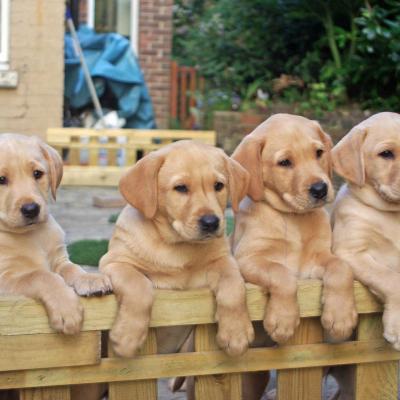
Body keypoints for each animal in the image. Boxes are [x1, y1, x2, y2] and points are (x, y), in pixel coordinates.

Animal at [0, 134, 111, 334]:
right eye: (1, 179)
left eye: (37, 174)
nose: (31, 209)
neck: (32, 235)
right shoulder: (5, 278)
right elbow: (41, 276)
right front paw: (67, 308)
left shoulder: (59, 259)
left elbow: (73, 268)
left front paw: (90, 278)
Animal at [100, 140, 255, 356]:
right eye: (180, 188)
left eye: (218, 186)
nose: (211, 222)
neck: (178, 246)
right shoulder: (114, 262)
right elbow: (138, 283)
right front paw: (127, 337)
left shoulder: (224, 260)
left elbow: (234, 286)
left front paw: (236, 332)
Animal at [230, 114, 358, 346]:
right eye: (284, 162)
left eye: (319, 153)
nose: (320, 189)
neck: (293, 218)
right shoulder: (248, 258)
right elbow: (281, 273)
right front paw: (283, 320)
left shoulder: (319, 257)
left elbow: (342, 268)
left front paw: (341, 316)